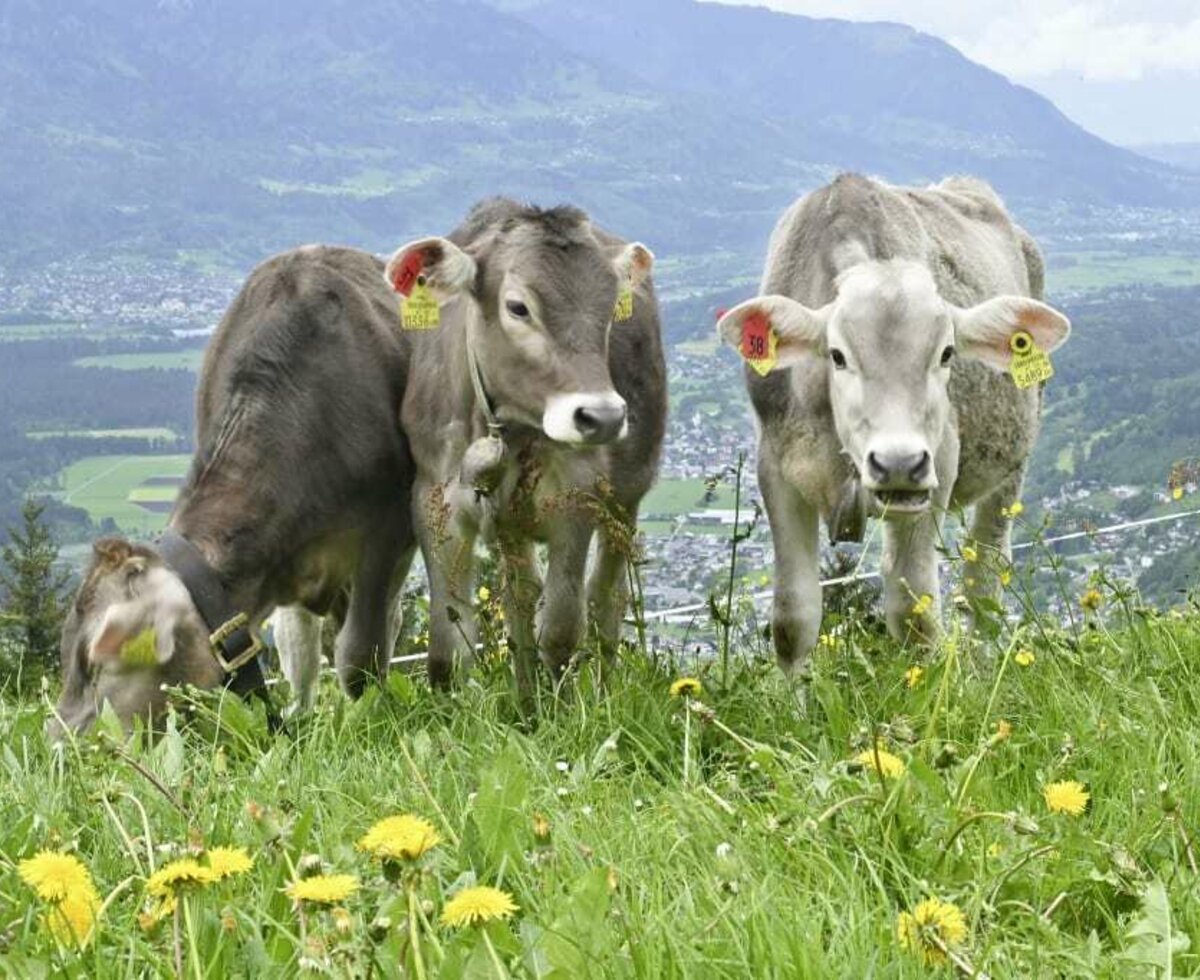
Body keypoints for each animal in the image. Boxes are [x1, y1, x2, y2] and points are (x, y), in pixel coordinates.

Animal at [51, 244, 415, 734]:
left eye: (94, 663)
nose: (56, 741)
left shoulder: (387, 538)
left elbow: (360, 651)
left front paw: (369, 717)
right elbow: (297, 651)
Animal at [384, 199, 667, 700]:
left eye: (610, 309)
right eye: (518, 307)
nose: (602, 416)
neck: (509, 430)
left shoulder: (576, 496)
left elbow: (560, 628)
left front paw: (561, 708)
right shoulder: (435, 501)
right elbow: (448, 646)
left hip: (624, 498)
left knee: (606, 595)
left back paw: (597, 689)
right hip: (510, 521)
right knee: (521, 594)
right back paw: (523, 698)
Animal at [715, 173, 1075, 671]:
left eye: (946, 353)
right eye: (837, 355)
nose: (899, 463)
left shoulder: (939, 463)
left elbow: (914, 614)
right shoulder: (775, 465)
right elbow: (792, 618)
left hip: (1014, 458)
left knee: (984, 574)